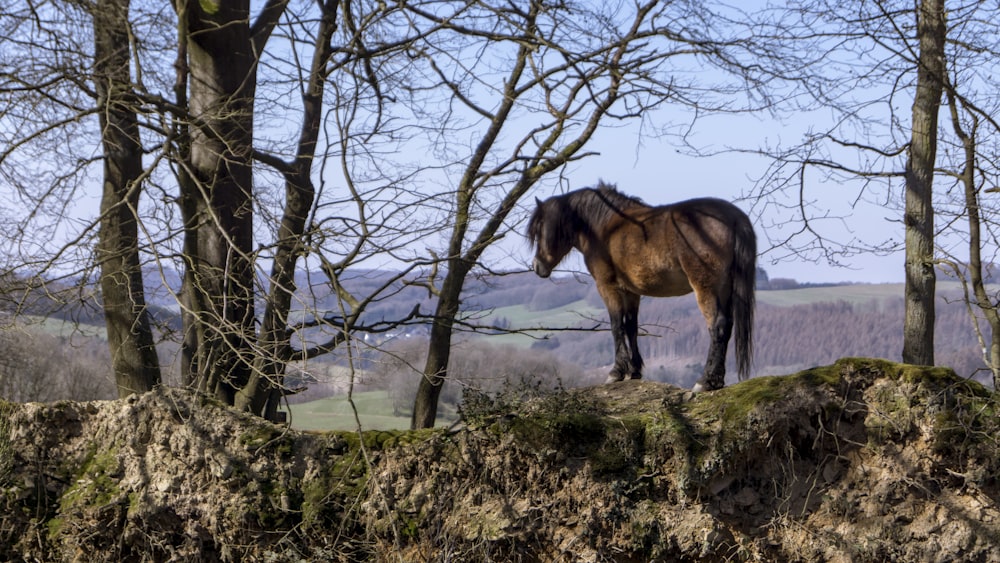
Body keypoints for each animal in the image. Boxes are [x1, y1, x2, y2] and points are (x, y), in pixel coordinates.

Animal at [528, 182, 752, 392]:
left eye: (540, 229)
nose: (537, 266)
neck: (605, 227)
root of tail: (733, 217)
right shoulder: (631, 291)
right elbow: (631, 327)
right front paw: (633, 371)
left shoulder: (607, 287)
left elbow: (616, 326)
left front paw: (616, 372)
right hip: (725, 289)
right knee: (727, 326)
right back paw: (717, 380)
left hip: (706, 288)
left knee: (717, 326)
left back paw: (705, 381)